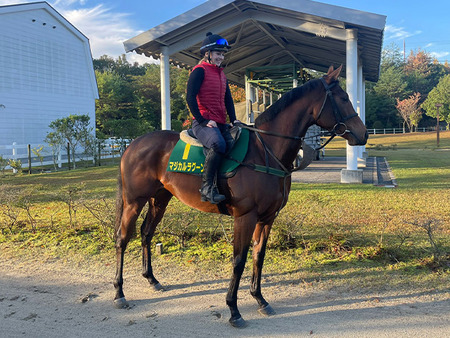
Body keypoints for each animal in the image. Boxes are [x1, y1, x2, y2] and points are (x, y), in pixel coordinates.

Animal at [113, 65, 370, 328]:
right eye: (343, 98)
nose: (363, 134)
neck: (266, 150)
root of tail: (133, 144)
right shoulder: (245, 217)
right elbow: (239, 260)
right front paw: (233, 309)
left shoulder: (267, 218)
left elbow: (259, 256)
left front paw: (260, 299)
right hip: (134, 201)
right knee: (122, 238)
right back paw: (119, 292)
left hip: (160, 199)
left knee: (146, 233)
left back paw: (151, 279)